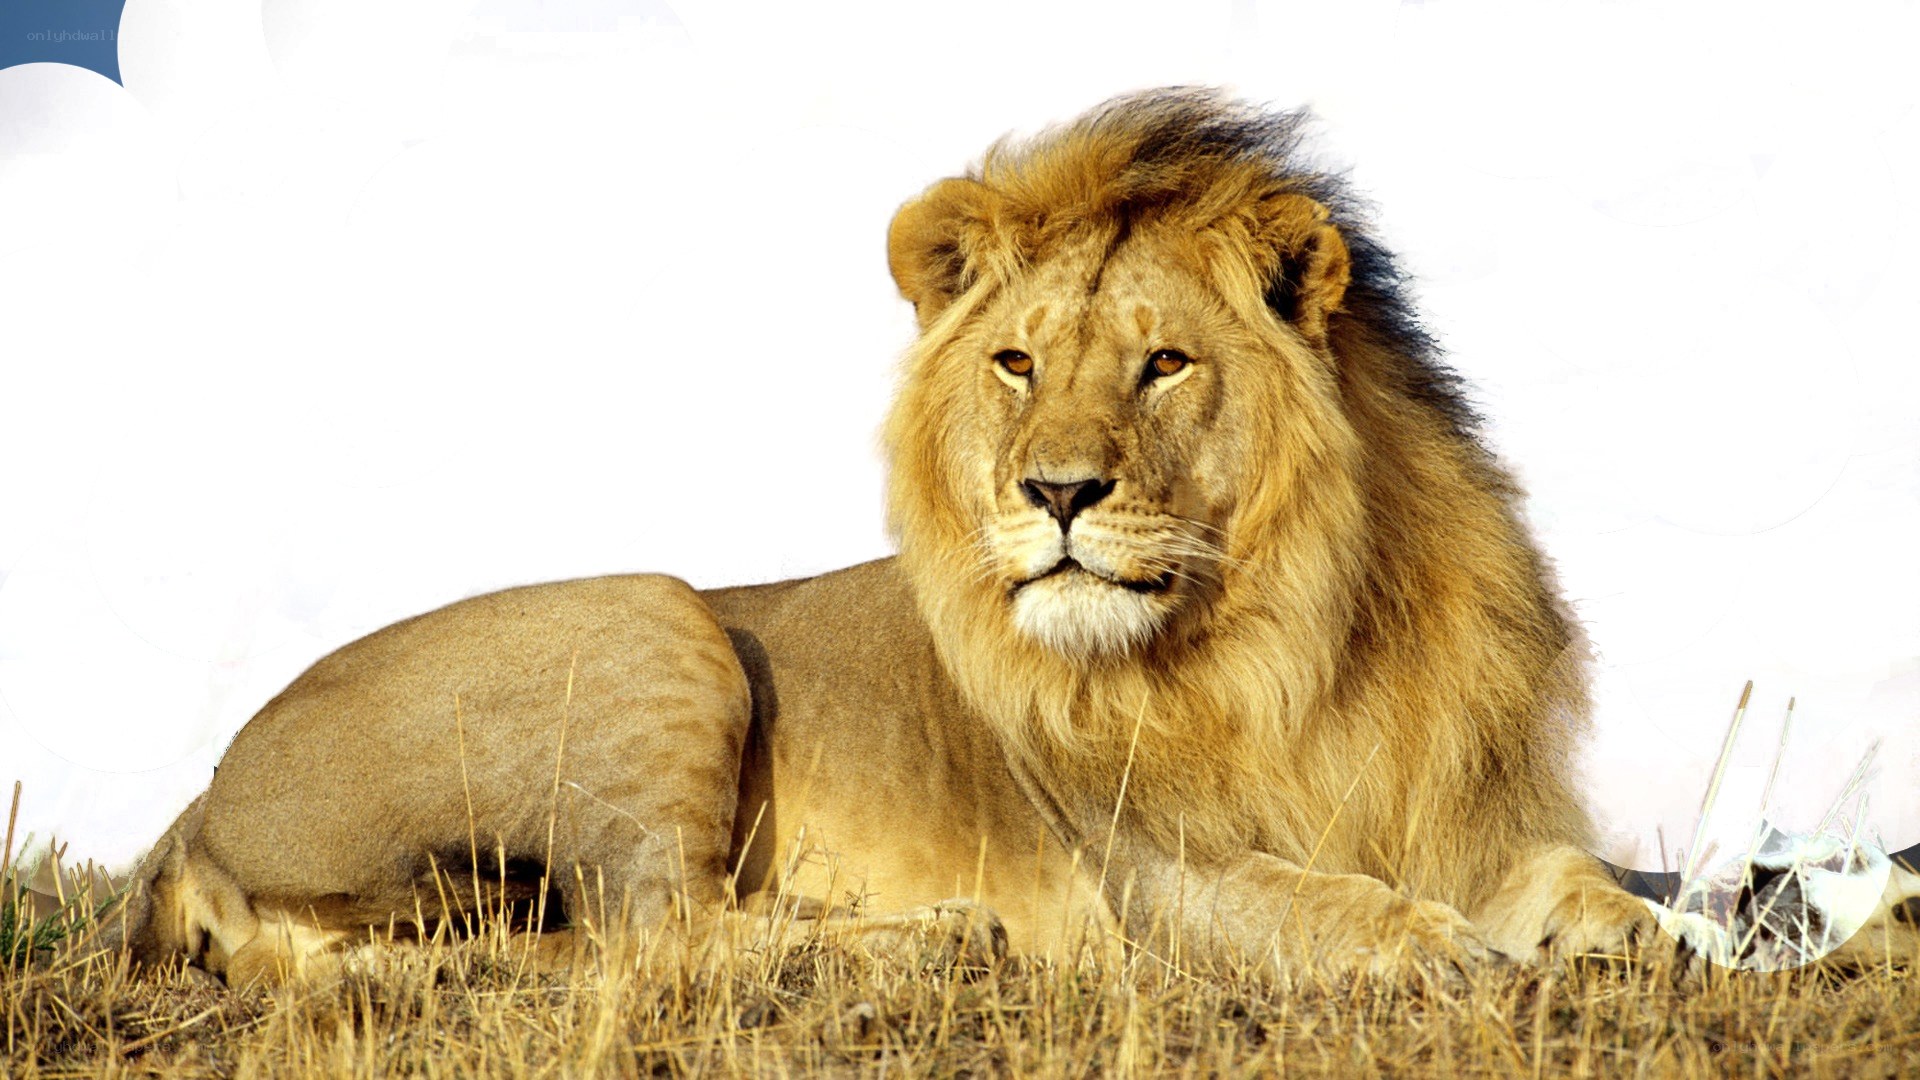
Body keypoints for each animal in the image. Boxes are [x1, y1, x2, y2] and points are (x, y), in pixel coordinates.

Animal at [110, 89, 1658, 986]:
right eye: (1019, 364)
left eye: (1163, 363)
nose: (1056, 493)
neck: (1298, 633)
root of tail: (194, 805)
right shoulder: (1151, 876)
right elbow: (1326, 909)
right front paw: (1448, 953)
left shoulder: (1466, 811)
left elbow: (1580, 877)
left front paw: (1649, 933)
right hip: (657, 617)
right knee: (651, 937)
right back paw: (935, 937)